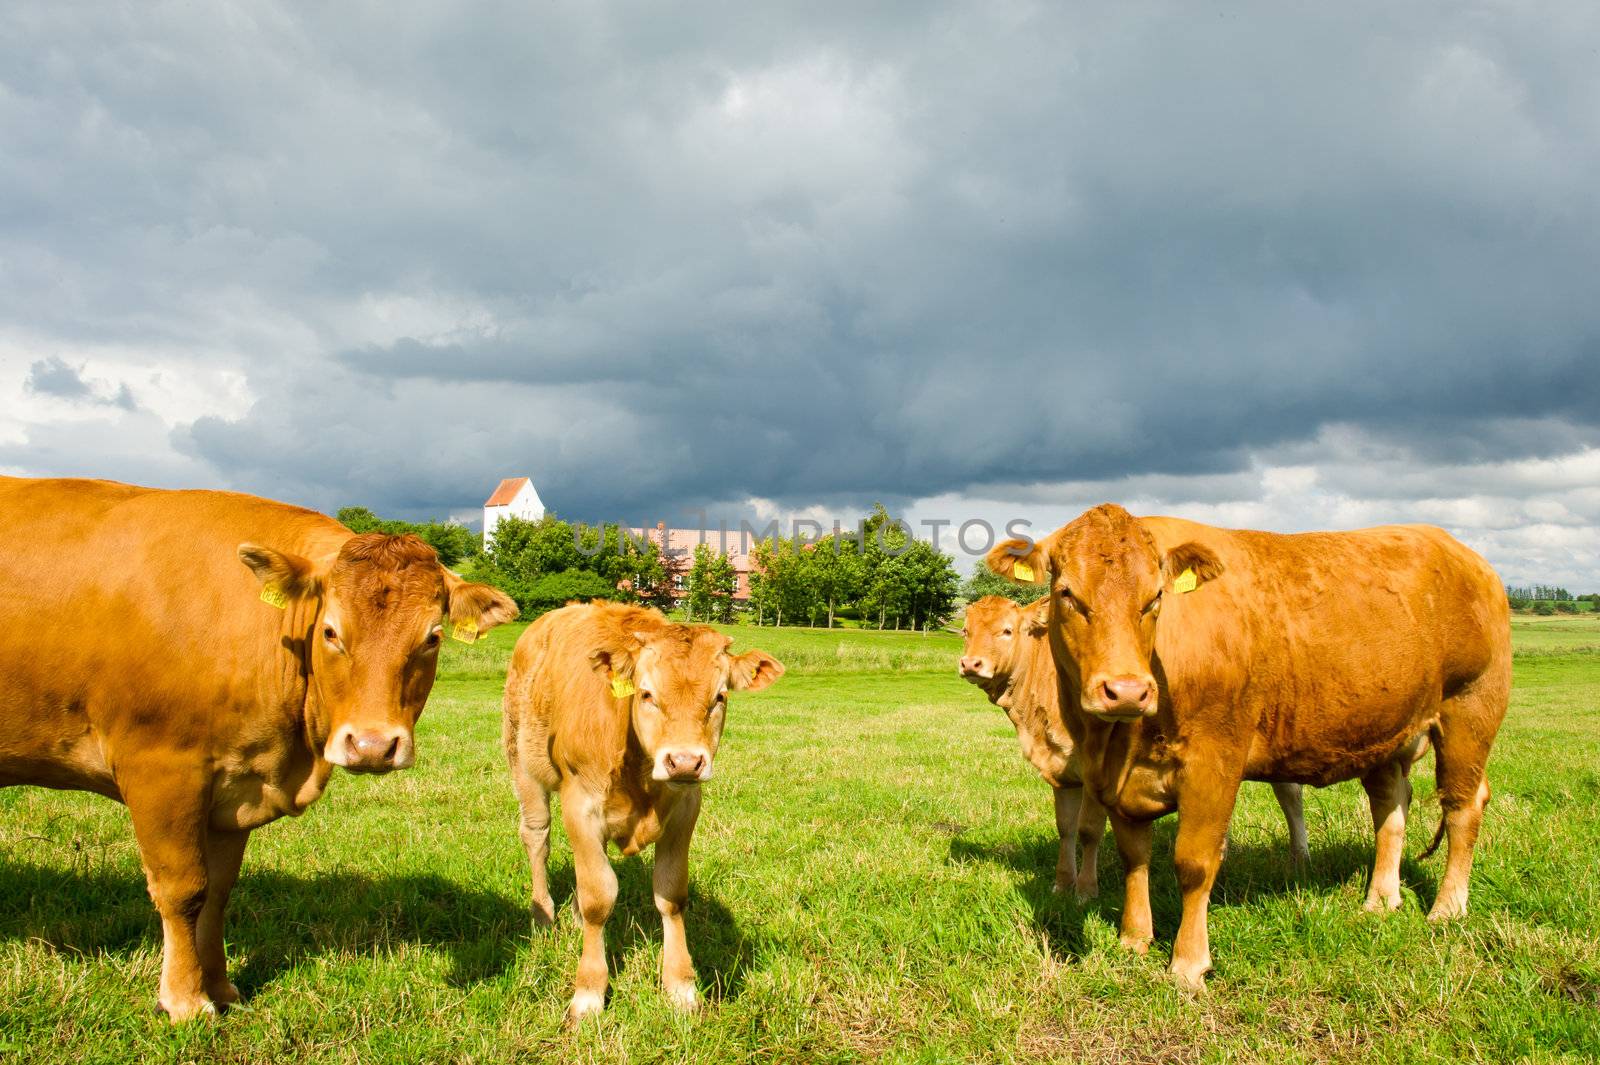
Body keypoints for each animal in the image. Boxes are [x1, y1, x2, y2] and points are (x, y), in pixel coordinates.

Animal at [0, 476, 518, 1017]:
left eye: (432, 638)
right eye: (330, 631)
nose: (373, 745)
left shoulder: (233, 786)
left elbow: (217, 892)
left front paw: (220, 986)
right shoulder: (161, 771)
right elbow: (182, 889)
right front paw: (185, 999)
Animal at [496, 598, 777, 1023]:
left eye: (719, 697)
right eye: (646, 694)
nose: (684, 761)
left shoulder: (686, 809)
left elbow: (671, 894)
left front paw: (681, 987)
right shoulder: (580, 805)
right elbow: (599, 897)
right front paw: (589, 993)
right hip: (524, 764)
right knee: (537, 837)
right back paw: (543, 913)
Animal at [953, 588, 1305, 895]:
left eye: (1007, 630)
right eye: (966, 631)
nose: (971, 663)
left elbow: (1089, 830)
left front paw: (1086, 890)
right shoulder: (1060, 771)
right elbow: (1065, 827)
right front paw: (1062, 885)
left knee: (1290, 793)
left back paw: (1299, 860)